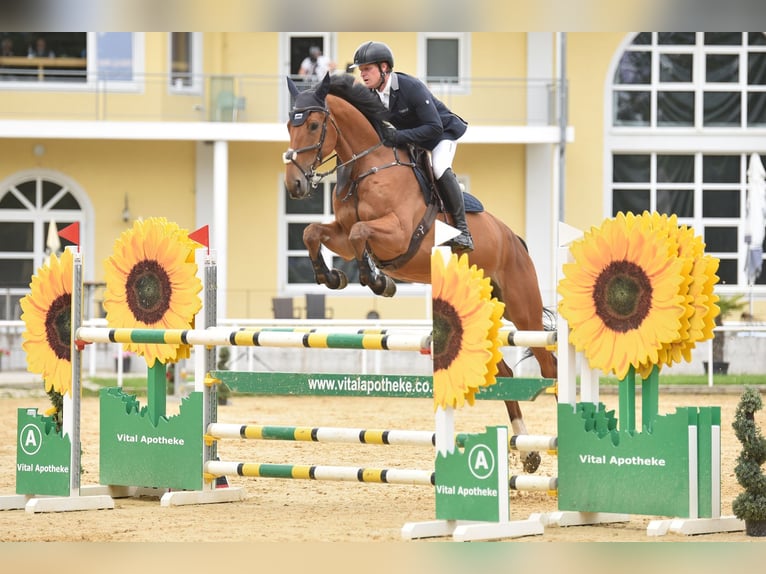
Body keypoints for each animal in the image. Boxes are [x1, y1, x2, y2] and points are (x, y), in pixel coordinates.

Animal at [282, 74, 560, 474]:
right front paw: (331, 277)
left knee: (550, 365)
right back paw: (528, 451)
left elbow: (360, 233)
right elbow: (312, 232)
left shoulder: (397, 233)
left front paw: (378, 280)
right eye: (290, 125)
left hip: (523, 311)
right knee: (505, 373)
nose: (295, 185)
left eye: (315, 125)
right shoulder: (341, 234)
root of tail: (515, 240)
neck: (368, 166)